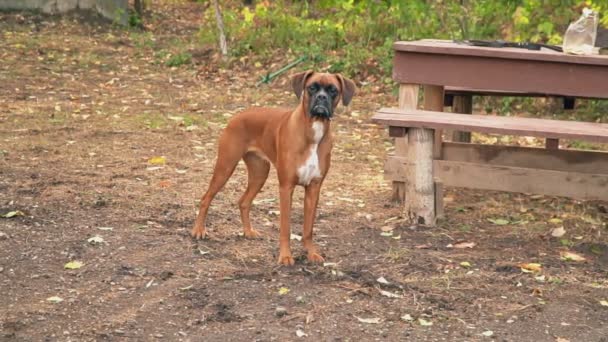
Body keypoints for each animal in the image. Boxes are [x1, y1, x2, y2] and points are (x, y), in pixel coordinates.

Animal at [191, 71, 356, 264]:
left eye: (333, 90)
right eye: (312, 88)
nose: (321, 97)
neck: (313, 130)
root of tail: (238, 114)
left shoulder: (314, 188)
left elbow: (308, 229)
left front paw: (311, 253)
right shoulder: (286, 187)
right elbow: (285, 227)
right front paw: (285, 256)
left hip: (259, 173)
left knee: (243, 202)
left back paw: (248, 232)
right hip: (225, 167)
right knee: (206, 198)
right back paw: (198, 230)